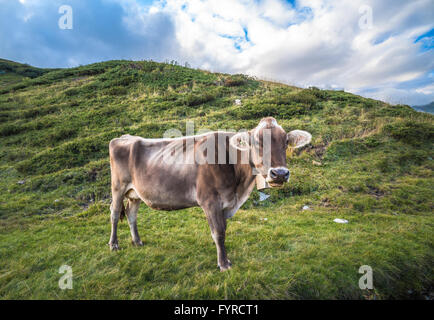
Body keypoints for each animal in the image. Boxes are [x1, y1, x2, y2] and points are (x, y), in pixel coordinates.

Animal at [108, 116, 312, 272]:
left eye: (286, 142)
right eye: (256, 141)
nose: (280, 173)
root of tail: (123, 137)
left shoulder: (225, 204)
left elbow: (224, 230)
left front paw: (225, 260)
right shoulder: (210, 202)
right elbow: (218, 233)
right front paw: (223, 264)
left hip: (135, 193)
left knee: (131, 214)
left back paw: (137, 241)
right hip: (118, 187)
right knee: (115, 213)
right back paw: (114, 244)